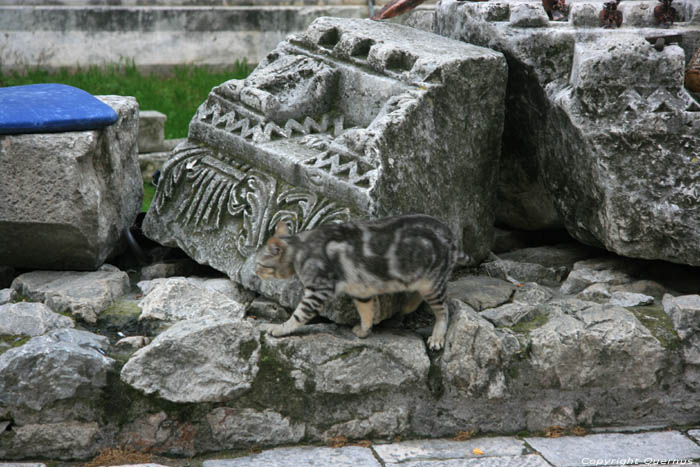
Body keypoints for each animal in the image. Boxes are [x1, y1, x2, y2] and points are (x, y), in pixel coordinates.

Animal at [254, 214, 462, 350]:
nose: (255, 272)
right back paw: (408, 306)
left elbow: (298, 315)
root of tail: (449, 233)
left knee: (444, 310)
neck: (300, 249)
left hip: (432, 284)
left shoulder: (318, 290)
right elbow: (367, 312)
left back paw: (437, 337)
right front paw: (364, 330)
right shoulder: (361, 290)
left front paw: (279, 329)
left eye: (260, 264)